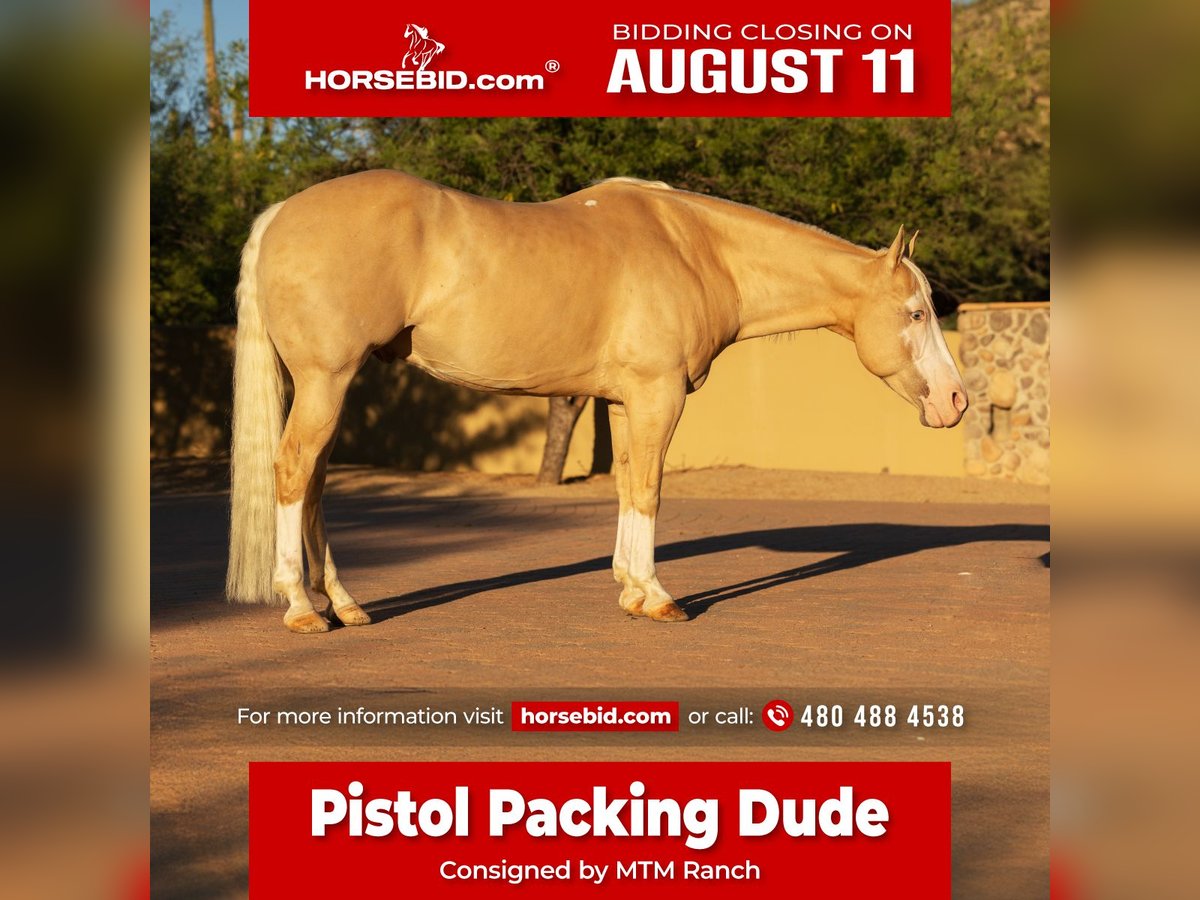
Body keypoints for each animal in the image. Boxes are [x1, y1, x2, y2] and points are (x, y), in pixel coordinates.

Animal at [225, 170, 968, 633]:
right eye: (914, 312)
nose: (955, 400)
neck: (696, 248)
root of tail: (280, 214)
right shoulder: (658, 395)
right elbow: (649, 489)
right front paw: (658, 598)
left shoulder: (622, 400)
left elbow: (624, 486)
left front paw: (629, 588)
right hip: (326, 379)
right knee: (293, 472)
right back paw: (301, 608)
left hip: (329, 385)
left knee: (315, 484)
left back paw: (345, 605)